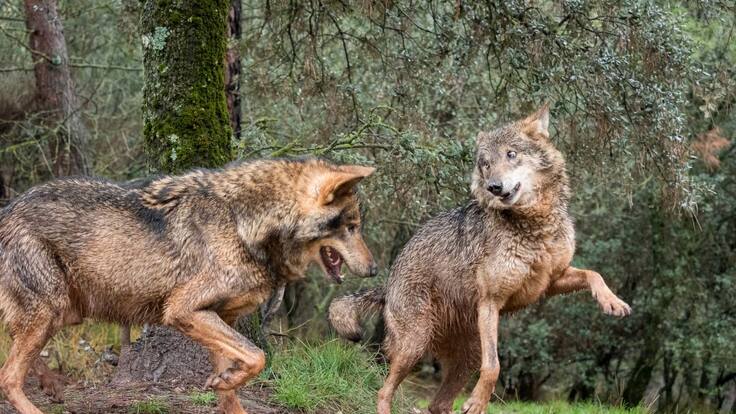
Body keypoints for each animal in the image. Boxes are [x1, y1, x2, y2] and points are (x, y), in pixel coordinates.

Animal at [0, 158, 377, 414]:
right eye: (352, 227)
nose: (374, 270)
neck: (243, 223)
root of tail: (8, 208)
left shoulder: (219, 317)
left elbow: (234, 386)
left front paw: (226, 384)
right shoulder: (183, 310)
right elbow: (257, 356)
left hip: (62, 314)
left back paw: (52, 387)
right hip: (49, 311)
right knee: (8, 377)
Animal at [329, 105, 631, 414]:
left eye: (511, 154)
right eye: (485, 164)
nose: (493, 187)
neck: (536, 229)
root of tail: (388, 283)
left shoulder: (550, 281)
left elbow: (594, 273)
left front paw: (613, 302)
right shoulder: (490, 301)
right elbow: (495, 366)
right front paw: (477, 401)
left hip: (465, 357)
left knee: (436, 404)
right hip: (415, 345)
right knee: (384, 392)